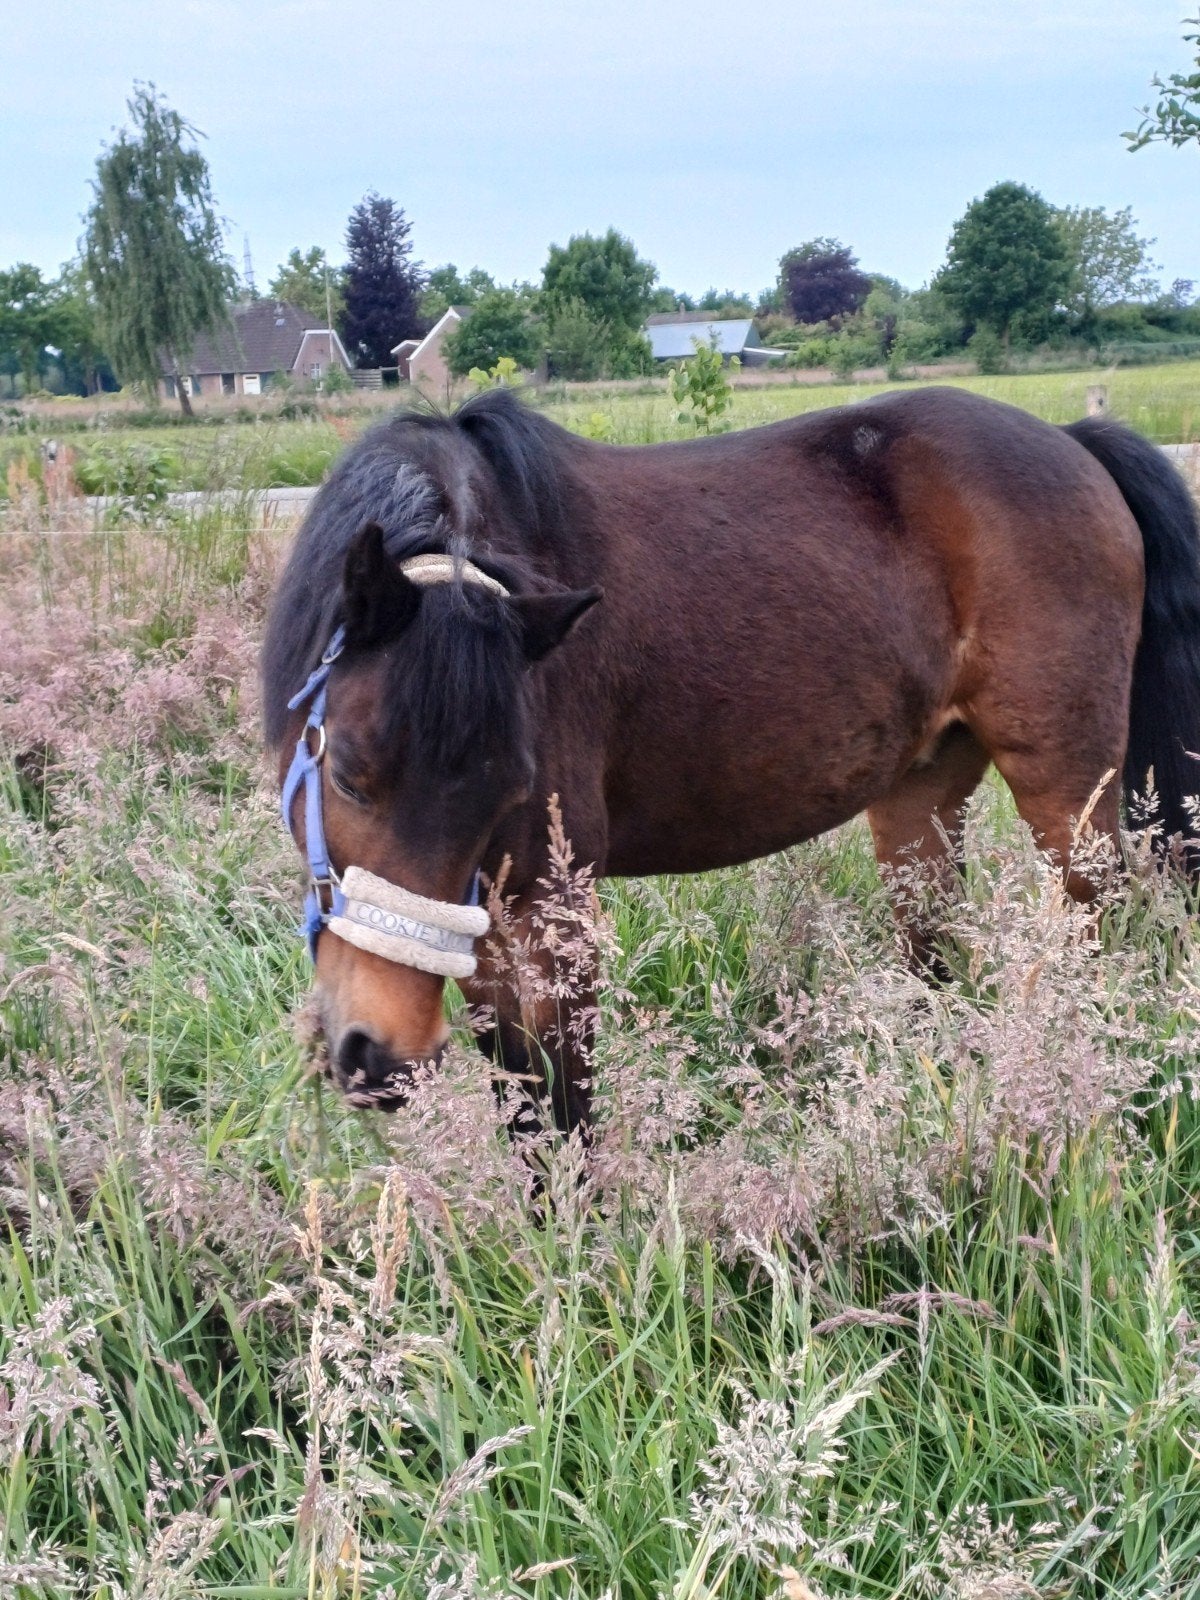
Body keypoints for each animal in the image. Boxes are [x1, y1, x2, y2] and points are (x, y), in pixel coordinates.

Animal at [262, 385, 1200, 1132]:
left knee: (1095, 932)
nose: (384, 1060)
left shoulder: (553, 916)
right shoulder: (482, 931)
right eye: (344, 772)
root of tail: (1072, 439)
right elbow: (523, 1106)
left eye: (511, 788)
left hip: (1069, 799)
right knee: (934, 954)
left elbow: (564, 1115)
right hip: (921, 800)